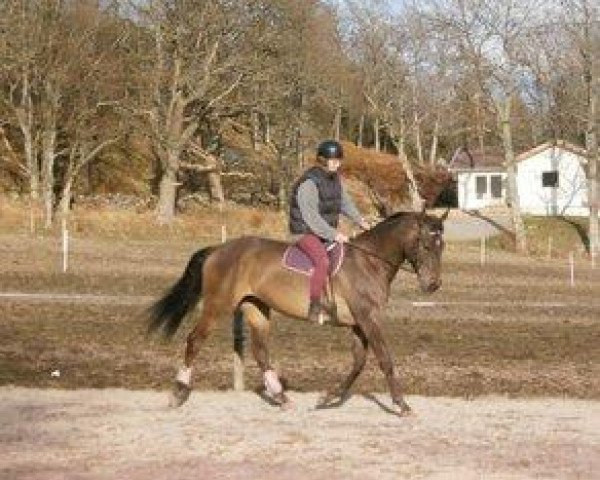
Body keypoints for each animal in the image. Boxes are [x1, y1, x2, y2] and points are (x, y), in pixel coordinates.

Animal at [148, 210, 448, 416]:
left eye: (442, 246)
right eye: (425, 245)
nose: (432, 285)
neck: (369, 262)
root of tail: (218, 249)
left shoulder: (360, 323)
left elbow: (359, 362)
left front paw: (328, 398)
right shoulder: (368, 319)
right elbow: (385, 359)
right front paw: (402, 405)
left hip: (256, 308)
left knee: (260, 352)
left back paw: (281, 397)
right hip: (218, 306)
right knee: (195, 340)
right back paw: (178, 393)